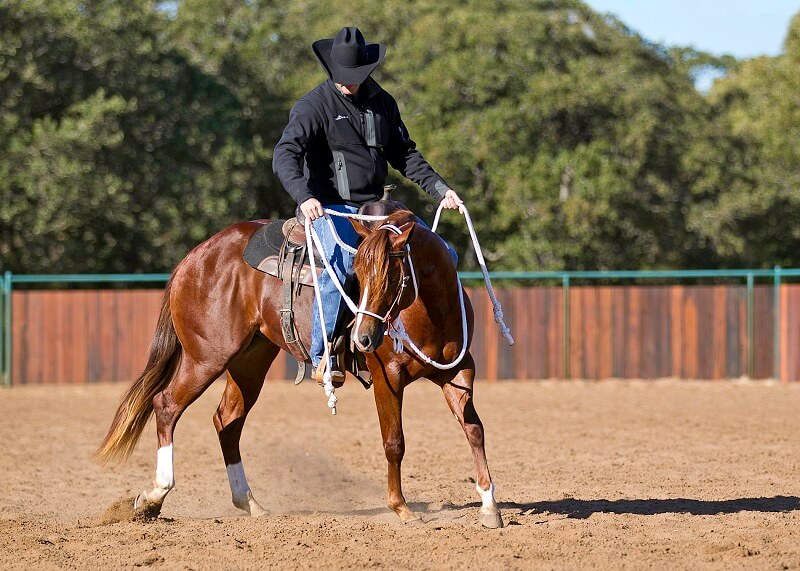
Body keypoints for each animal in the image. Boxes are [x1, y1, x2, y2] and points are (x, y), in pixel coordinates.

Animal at [97, 209, 504, 528]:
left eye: (392, 276)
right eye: (357, 274)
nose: (362, 338)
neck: (427, 313)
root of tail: (193, 258)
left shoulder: (458, 372)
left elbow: (475, 430)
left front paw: (489, 505)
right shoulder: (388, 376)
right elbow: (394, 442)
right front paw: (401, 508)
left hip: (250, 360)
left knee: (227, 419)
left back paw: (251, 503)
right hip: (206, 357)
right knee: (166, 405)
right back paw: (153, 497)